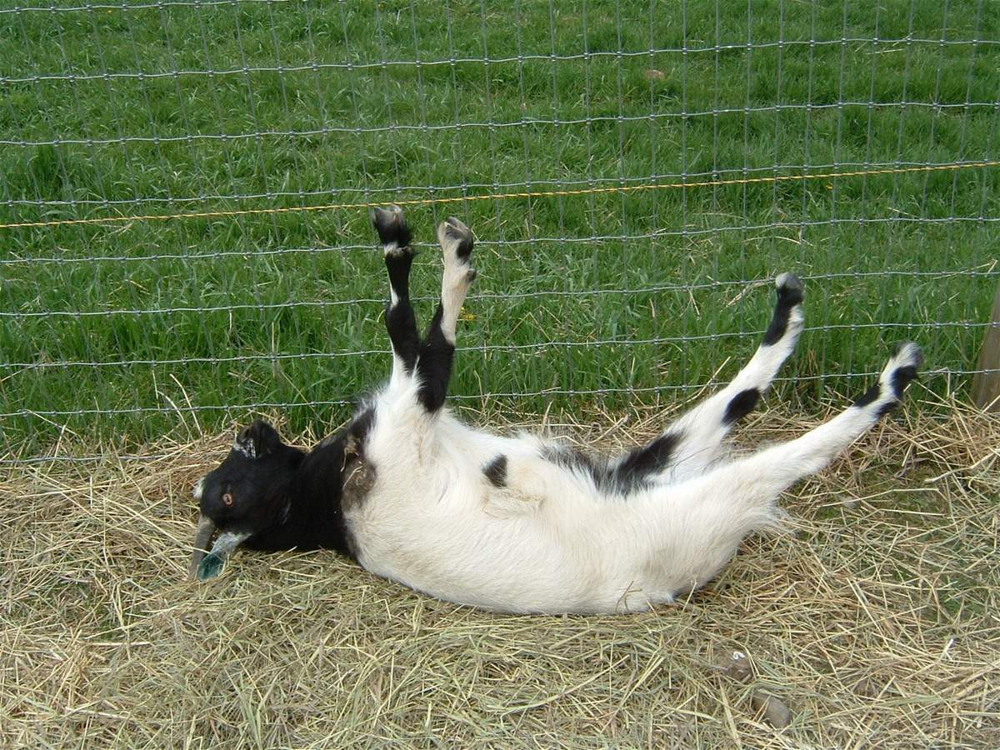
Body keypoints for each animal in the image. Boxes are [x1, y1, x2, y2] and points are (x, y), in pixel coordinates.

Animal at [188, 207, 922, 614]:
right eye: (224, 496)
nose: (250, 430)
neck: (326, 502)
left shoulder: (411, 414)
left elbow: (408, 336)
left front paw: (406, 238)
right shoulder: (410, 421)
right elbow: (421, 338)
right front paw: (439, 250)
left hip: (645, 462)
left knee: (736, 398)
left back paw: (790, 308)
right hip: (695, 501)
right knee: (783, 458)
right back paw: (893, 375)